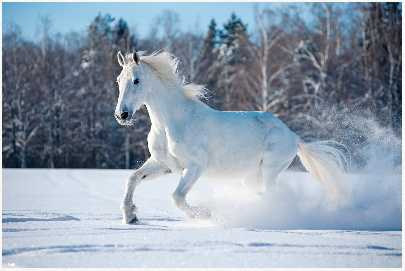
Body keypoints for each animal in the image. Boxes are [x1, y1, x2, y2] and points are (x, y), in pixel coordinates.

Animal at [114, 50, 348, 224]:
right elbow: (132, 178)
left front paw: (205, 214)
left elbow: (177, 197)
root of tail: (293, 136)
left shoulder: (195, 166)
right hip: (251, 177)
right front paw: (131, 216)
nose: (121, 115)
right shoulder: (163, 164)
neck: (171, 123)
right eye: (118, 80)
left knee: (272, 196)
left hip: (270, 170)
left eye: (136, 80)